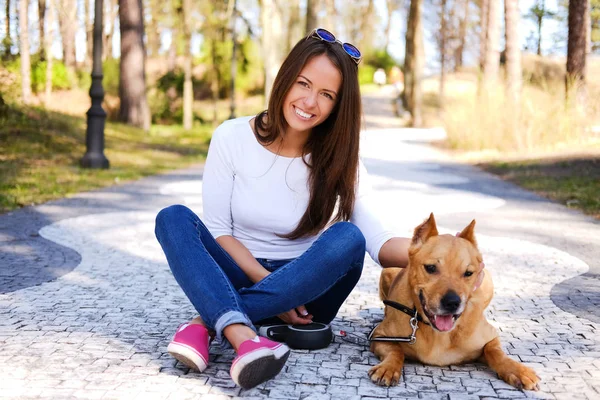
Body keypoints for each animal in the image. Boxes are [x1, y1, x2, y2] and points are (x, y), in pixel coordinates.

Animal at [368, 214, 540, 390]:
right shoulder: (379, 336)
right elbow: (396, 351)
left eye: (468, 273)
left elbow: (495, 351)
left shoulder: (491, 337)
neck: (438, 334)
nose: (452, 302)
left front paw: (516, 369)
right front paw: (388, 367)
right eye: (430, 268)